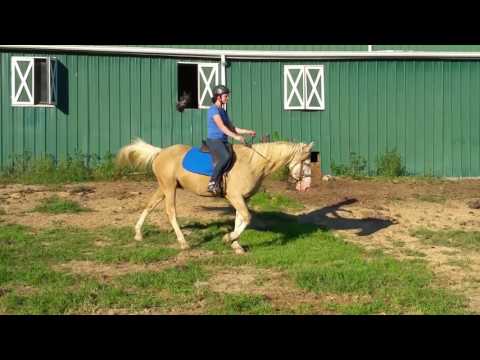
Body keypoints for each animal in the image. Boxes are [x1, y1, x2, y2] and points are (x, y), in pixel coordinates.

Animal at [115, 139, 314, 255]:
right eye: (306, 162)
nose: (307, 187)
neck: (252, 163)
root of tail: (160, 152)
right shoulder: (235, 197)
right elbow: (246, 218)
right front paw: (228, 238)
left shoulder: (242, 198)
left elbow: (240, 219)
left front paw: (236, 245)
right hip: (169, 188)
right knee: (170, 212)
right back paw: (183, 242)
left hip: (164, 187)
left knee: (150, 205)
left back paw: (138, 233)